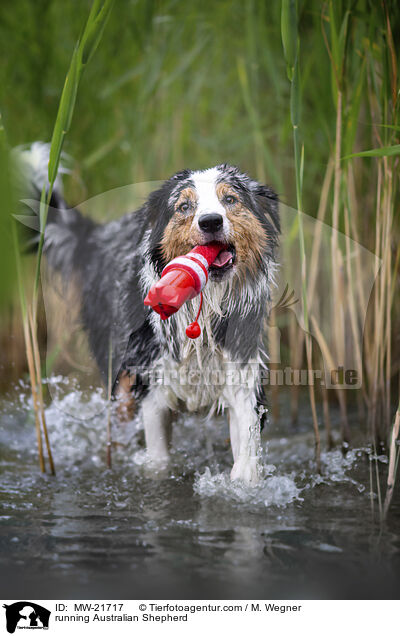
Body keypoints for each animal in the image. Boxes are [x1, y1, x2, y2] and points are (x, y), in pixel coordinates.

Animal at [20, 144, 280, 482]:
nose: (210, 221)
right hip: (120, 377)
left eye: (230, 199)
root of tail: (99, 235)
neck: (204, 310)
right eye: (184, 206)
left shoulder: (243, 379)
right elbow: (158, 460)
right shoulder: (151, 389)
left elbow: (246, 459)